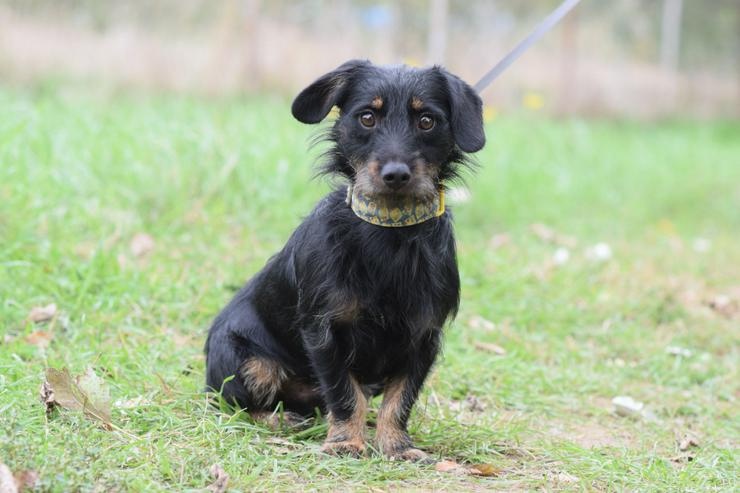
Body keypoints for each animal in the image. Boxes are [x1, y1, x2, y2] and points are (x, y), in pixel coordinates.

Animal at [207, 59, 486, 460]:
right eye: (367, 117)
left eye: (427, 121)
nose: (396, 174)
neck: (389, 231)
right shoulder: (325, 331)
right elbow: (343, 393)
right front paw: (346, 443)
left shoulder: (424, 336)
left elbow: (400, 398)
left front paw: (396, 446)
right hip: (246, 360)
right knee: (234, 404)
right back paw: (282, 420)